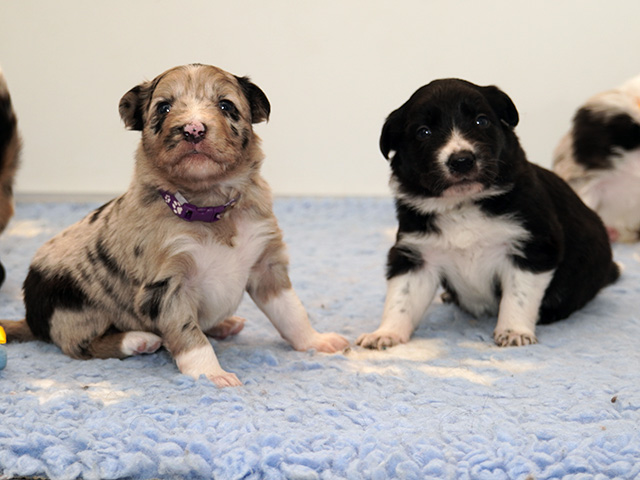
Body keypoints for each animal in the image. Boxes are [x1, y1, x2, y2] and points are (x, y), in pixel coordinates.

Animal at [0, 64, 348, 387]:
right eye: (164, 107)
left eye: (226, 105)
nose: (193, 129)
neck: (209, 206)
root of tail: (31, 319)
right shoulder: (166, 286)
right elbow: (189, 336)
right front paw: (212, 374)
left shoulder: (266, 265)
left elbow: (291, 311)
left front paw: (316, 341)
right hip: (73, 312)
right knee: (79, 346)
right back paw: (138, 340)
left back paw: (223, 324)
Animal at [356, 78, 619, 349]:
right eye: (423, 132)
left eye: (481, 121)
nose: (462, 161)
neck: (463, 205)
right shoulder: (416, 254)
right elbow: (401, 299)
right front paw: (385, 333)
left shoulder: (532, 247)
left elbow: (518, 296)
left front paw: (514, 331)